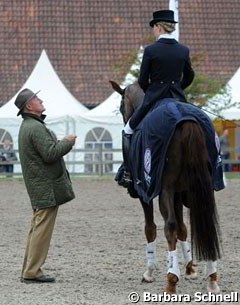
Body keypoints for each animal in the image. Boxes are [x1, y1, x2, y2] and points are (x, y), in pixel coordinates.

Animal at [110, 80, 221, 292]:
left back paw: (171, 279)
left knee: (169, 226)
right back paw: (211, 277)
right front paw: (190, 268)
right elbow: (183, 228)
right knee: (205, 223)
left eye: (121, 106)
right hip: (200, 189)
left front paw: (150, 272)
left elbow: (151, 228)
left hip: (165, 190)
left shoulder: (146, 191)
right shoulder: (178, 192)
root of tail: (186, 119)